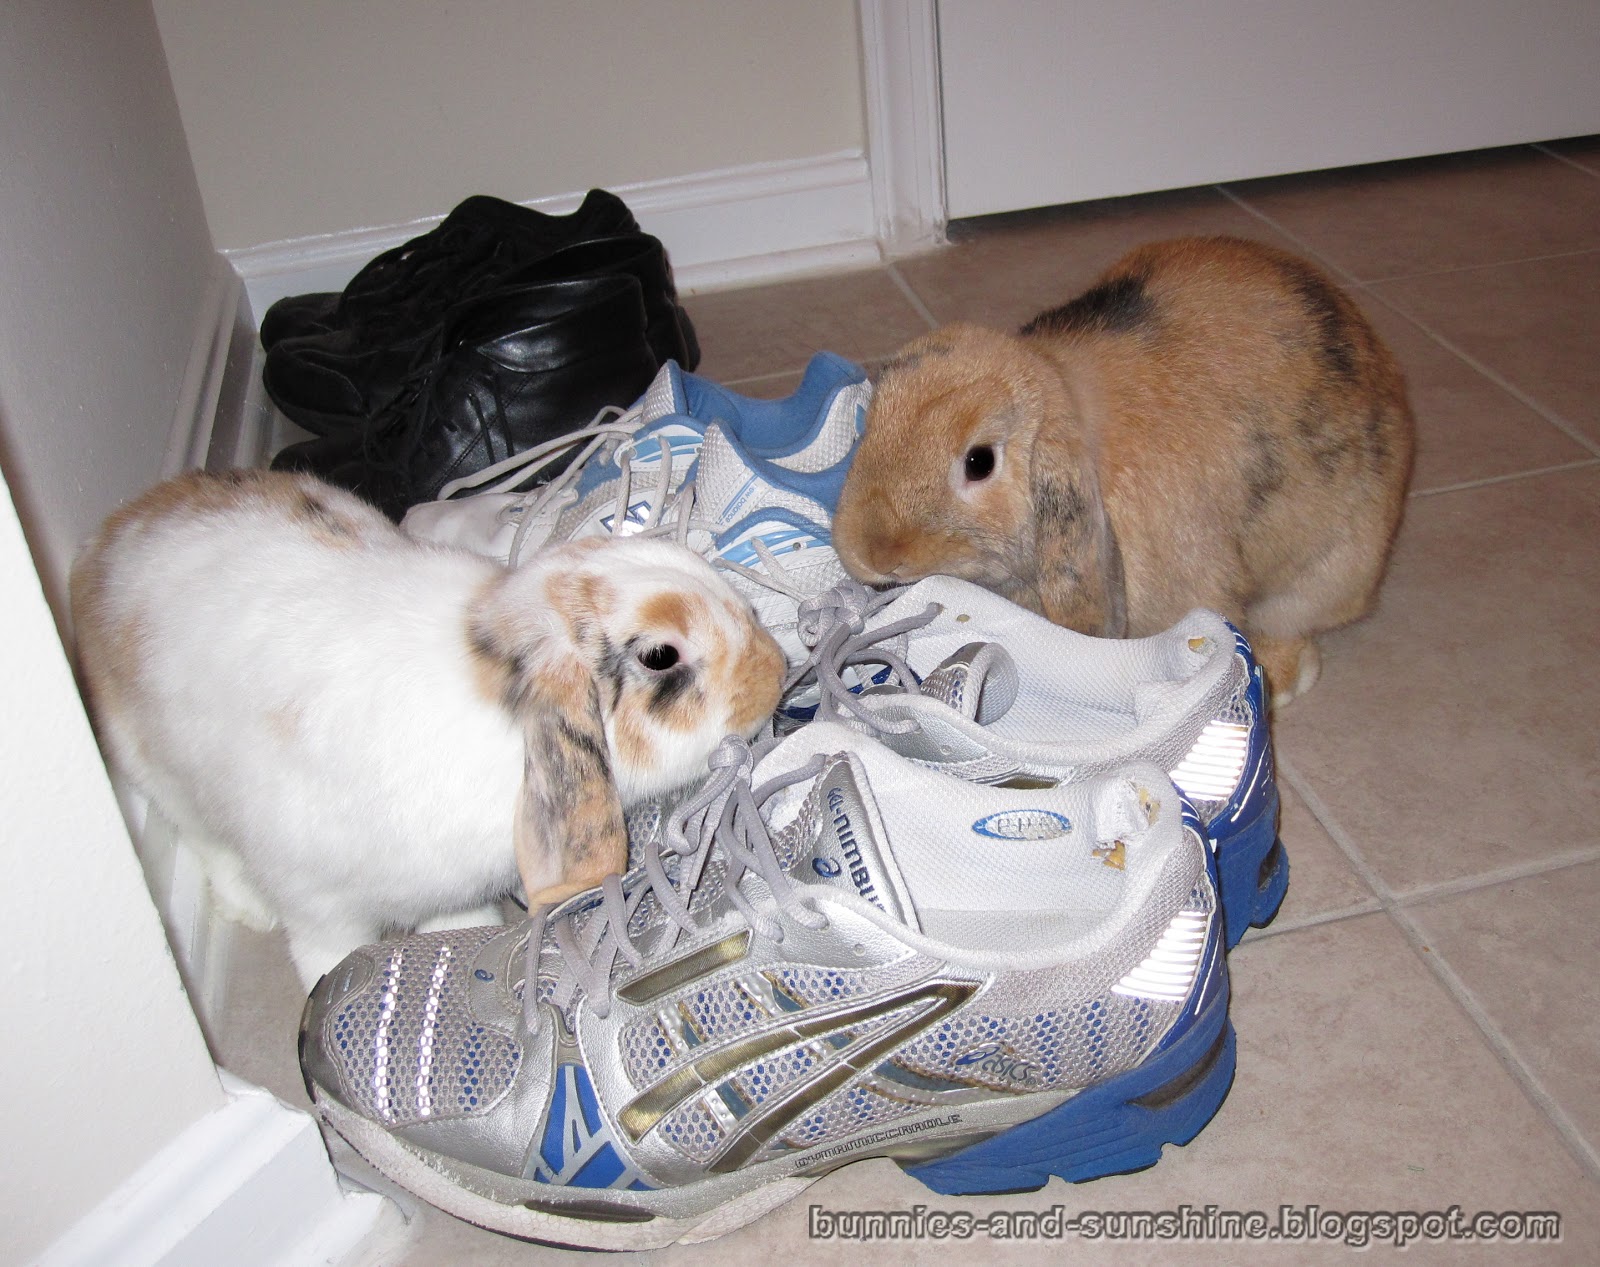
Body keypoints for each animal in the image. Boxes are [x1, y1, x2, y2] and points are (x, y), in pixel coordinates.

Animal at [70, 468, 785, 984]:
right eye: (660, 656)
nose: (777, 671)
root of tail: (106, 539)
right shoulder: (319, 901)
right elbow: (326, 952)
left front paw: (464, 938)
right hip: (158, 770)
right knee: (203, 839)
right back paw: (248, 907)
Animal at [833, 235, 1415, 706]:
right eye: (870, 423)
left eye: (980, 462)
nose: (872, 552)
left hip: (1327, 566)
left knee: (1291, 619)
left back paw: (1283, 679)